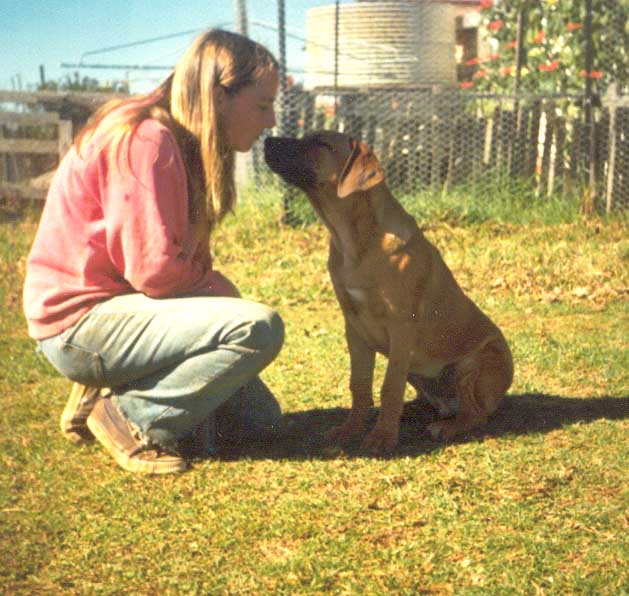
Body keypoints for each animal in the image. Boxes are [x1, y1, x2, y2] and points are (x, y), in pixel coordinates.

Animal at [264, 131, 514, 452]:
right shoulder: (354, 327)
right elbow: (359, 385)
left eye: (321, 143)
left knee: (475, 414)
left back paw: (446, 426)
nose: (267, 141)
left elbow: (389, 387)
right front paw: (352, 429)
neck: (355, 241)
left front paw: (382, 437)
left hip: (472, 363)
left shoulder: (401, 326)